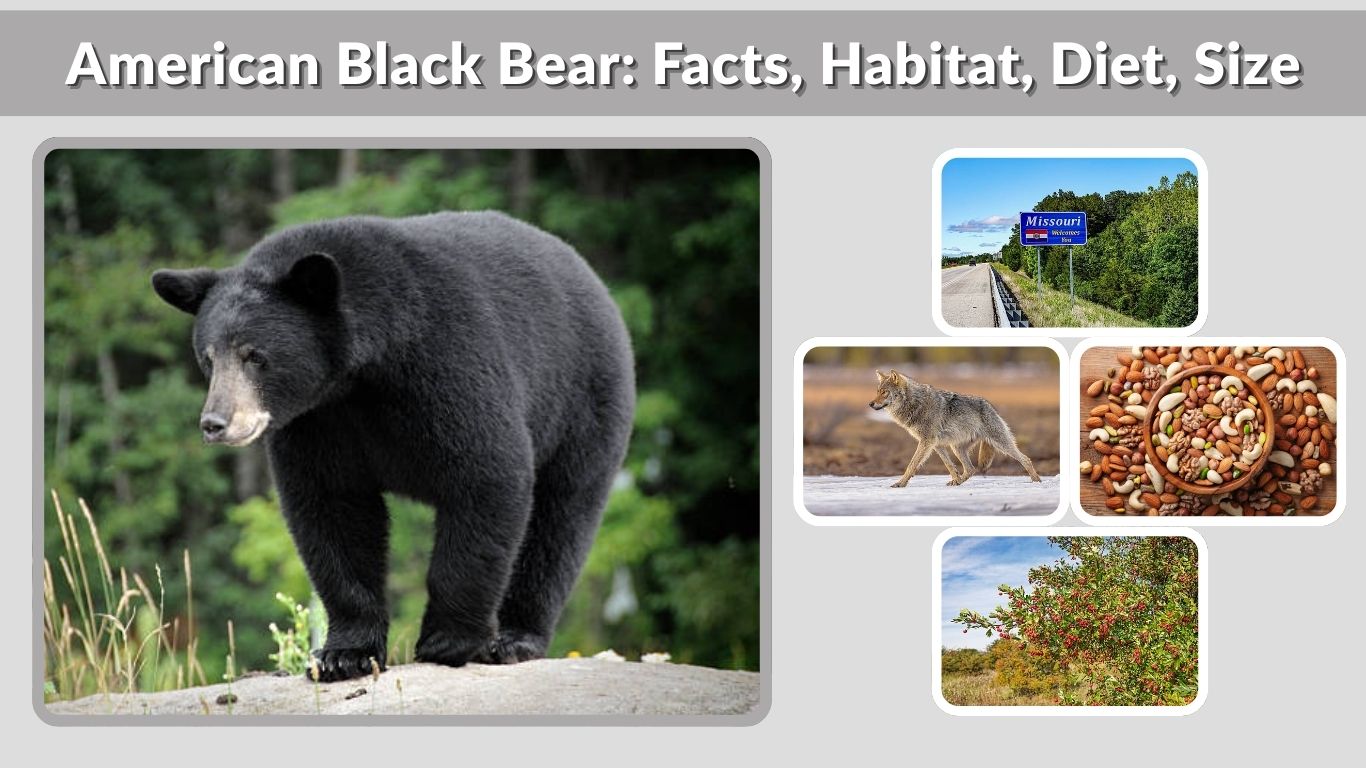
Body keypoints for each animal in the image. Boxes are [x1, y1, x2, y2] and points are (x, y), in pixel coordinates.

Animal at [151, 211, 636, 682]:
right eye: (208, 358)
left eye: (255, 355)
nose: (215, 423)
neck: (362, 375)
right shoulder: (318, 422)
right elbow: (332, 510)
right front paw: (343, 654)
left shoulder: (448, 361)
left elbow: (487, 474)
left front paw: (448, 641)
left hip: (583, 403)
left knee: (560, 520)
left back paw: (515, 638)